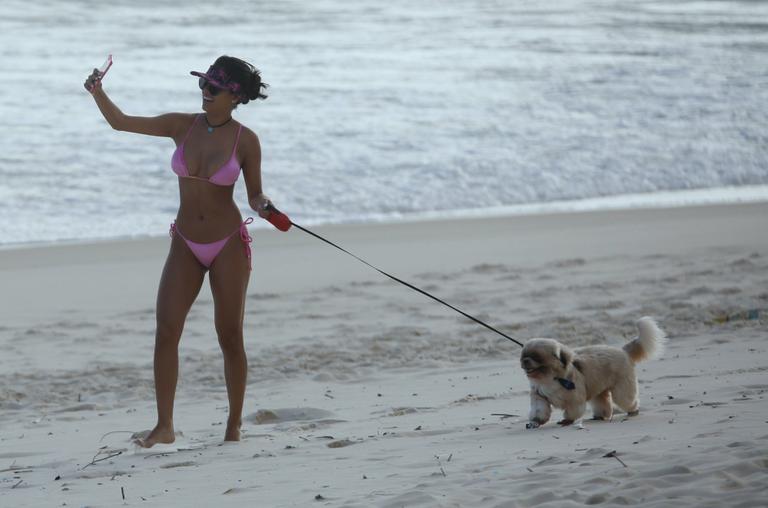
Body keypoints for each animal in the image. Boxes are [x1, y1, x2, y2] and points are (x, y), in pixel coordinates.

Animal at [520, 318, 664, 428]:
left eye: (537, 357)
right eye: (524, 355)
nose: (525, 361)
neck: (550, 378)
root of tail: (623, 351)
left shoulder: (574, 400)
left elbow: (573, 411)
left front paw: (567, 421)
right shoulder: (540, 396)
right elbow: (539, 410)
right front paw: (535, 422)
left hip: (622, 390)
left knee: (626, 400)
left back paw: (633, 411)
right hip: (599, 391)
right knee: (603, 404)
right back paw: (600, 416)